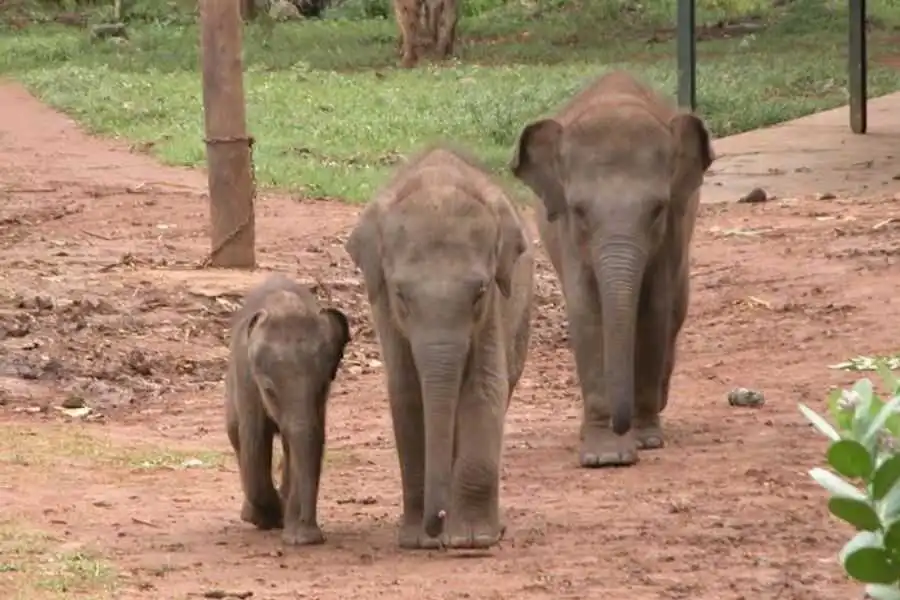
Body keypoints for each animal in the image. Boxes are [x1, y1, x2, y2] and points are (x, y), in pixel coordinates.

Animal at [225, 274, 351, 545]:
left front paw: (298, 535)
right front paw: (270, 518)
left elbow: (309, 439)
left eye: (323, 387)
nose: (312, 539)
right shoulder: (248, 381)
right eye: (269, 391)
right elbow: (255, 440)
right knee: (236, 435)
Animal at [346, 144, 534, 549]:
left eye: (479, 292)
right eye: (401, 293)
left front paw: (473, 540)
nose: (437, 525)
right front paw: (419, 541)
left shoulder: (495, 306)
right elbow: (407, 393)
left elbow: (484, 387)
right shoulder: (385, 309)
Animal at [509, 70, 714, 469]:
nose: (624, 426)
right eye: (579, 211)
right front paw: (605, 455)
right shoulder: (568, 237)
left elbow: (654, 309)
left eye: (657, 209)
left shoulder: (671, 232)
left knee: (676, 310)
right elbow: (587, 311)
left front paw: (647, 439)